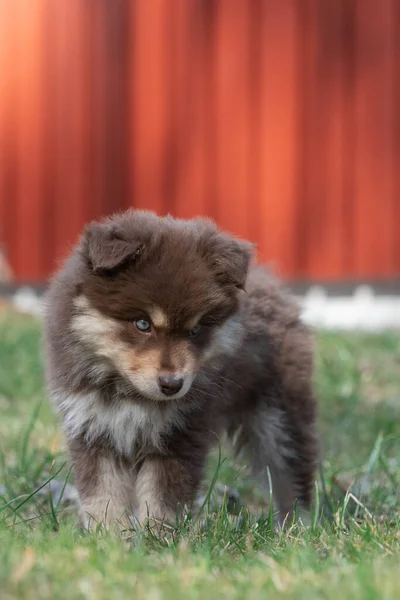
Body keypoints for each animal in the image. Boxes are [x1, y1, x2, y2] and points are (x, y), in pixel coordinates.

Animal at [43, 210, 318, 528]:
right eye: (142, 323)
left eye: (196, 330)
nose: (172, 384)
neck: (127, 392)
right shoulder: (92, 428)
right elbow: (103, 495)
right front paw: (109, 534)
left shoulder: (181, 432)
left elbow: (162, 498)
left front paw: (157, 535)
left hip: (278, 414)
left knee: (290, 470)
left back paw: (298, 526)